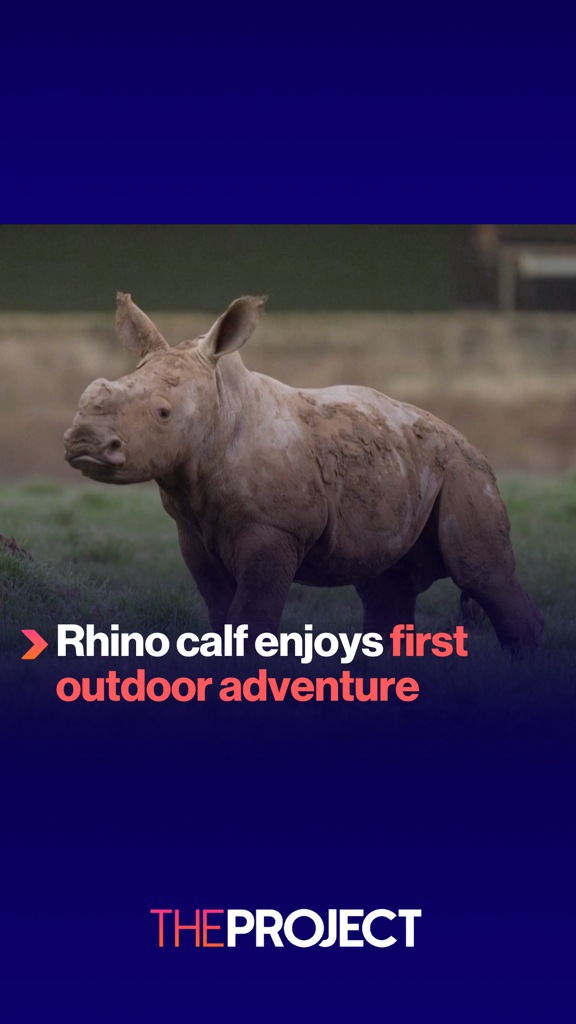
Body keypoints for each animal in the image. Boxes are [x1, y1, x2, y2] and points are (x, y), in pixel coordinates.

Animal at [63, 293, 543, 655]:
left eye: (163, 413)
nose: (84, 443)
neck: (220, 407)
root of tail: (465, 436)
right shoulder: (191, 527)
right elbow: (219, 614)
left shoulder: (274, 528)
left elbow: (250, 614)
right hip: (406, 464)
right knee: (384, 582)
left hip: (463, 469)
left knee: (481, 573)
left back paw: (524, 668)